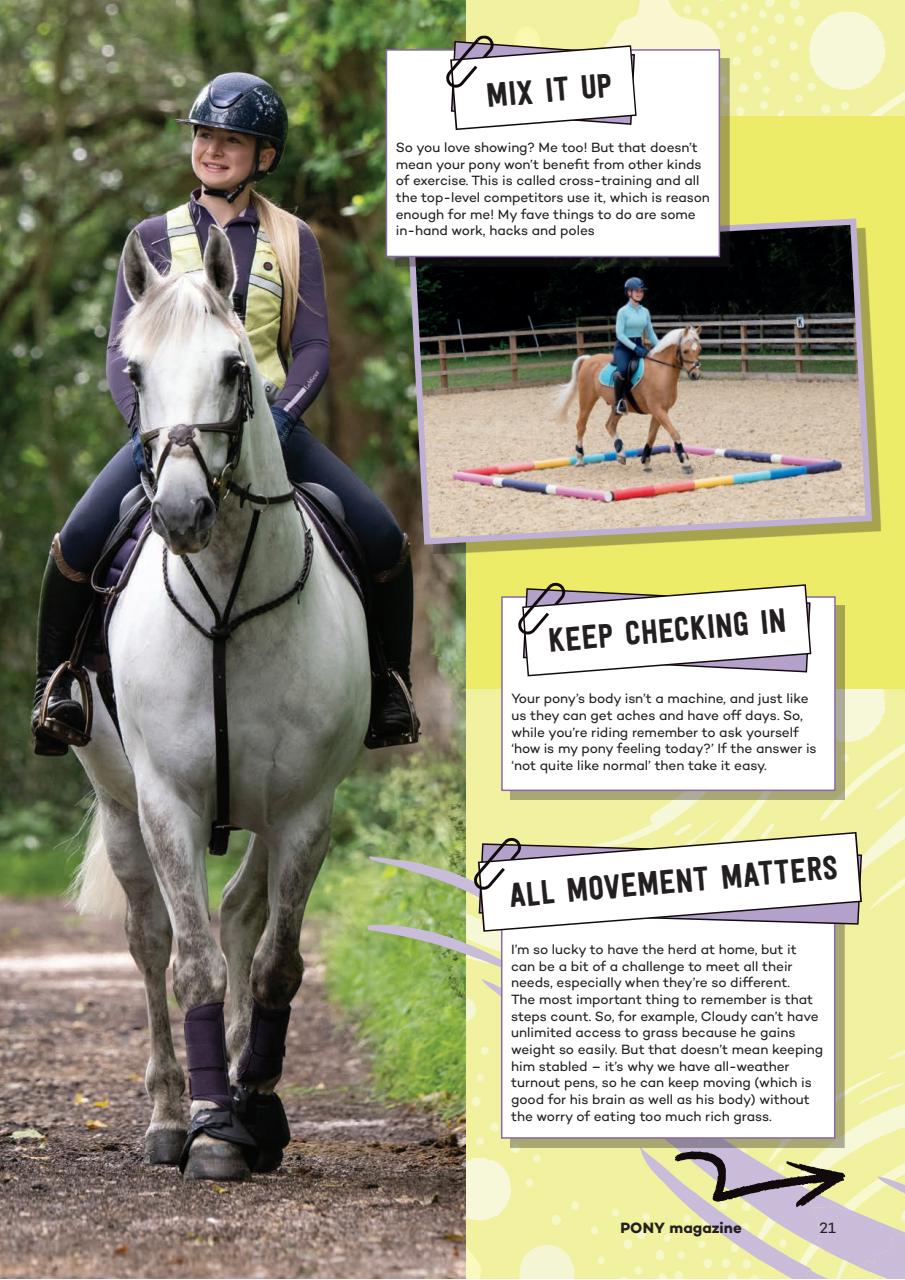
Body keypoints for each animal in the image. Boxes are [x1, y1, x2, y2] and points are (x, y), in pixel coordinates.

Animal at [69, 226, 371, 1181]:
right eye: (132, 369)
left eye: (236, 367)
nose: (181, 511)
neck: (230, 601)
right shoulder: (168, 801)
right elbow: (191, 963)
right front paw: (205, 1129)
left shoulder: (308, 808)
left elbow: (275, 962)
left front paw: (257, 1111)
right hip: (118, 802)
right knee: (151, 941)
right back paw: (171, 1112)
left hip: (267, 814)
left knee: (241, 913)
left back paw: (238, 1086)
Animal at [554, 326, 703, 474]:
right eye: (685, 350)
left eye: (699, 349)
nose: (695, 375)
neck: (660, 370)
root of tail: (589, 359)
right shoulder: (658, 410)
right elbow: (674, 433)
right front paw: (686, 463)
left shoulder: (661, 411)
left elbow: (651, 436)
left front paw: (646, 462)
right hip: (587, 399)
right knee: (581, 425)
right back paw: (580, 458)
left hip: (616, 407)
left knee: (610, 425)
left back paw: (620, 454)